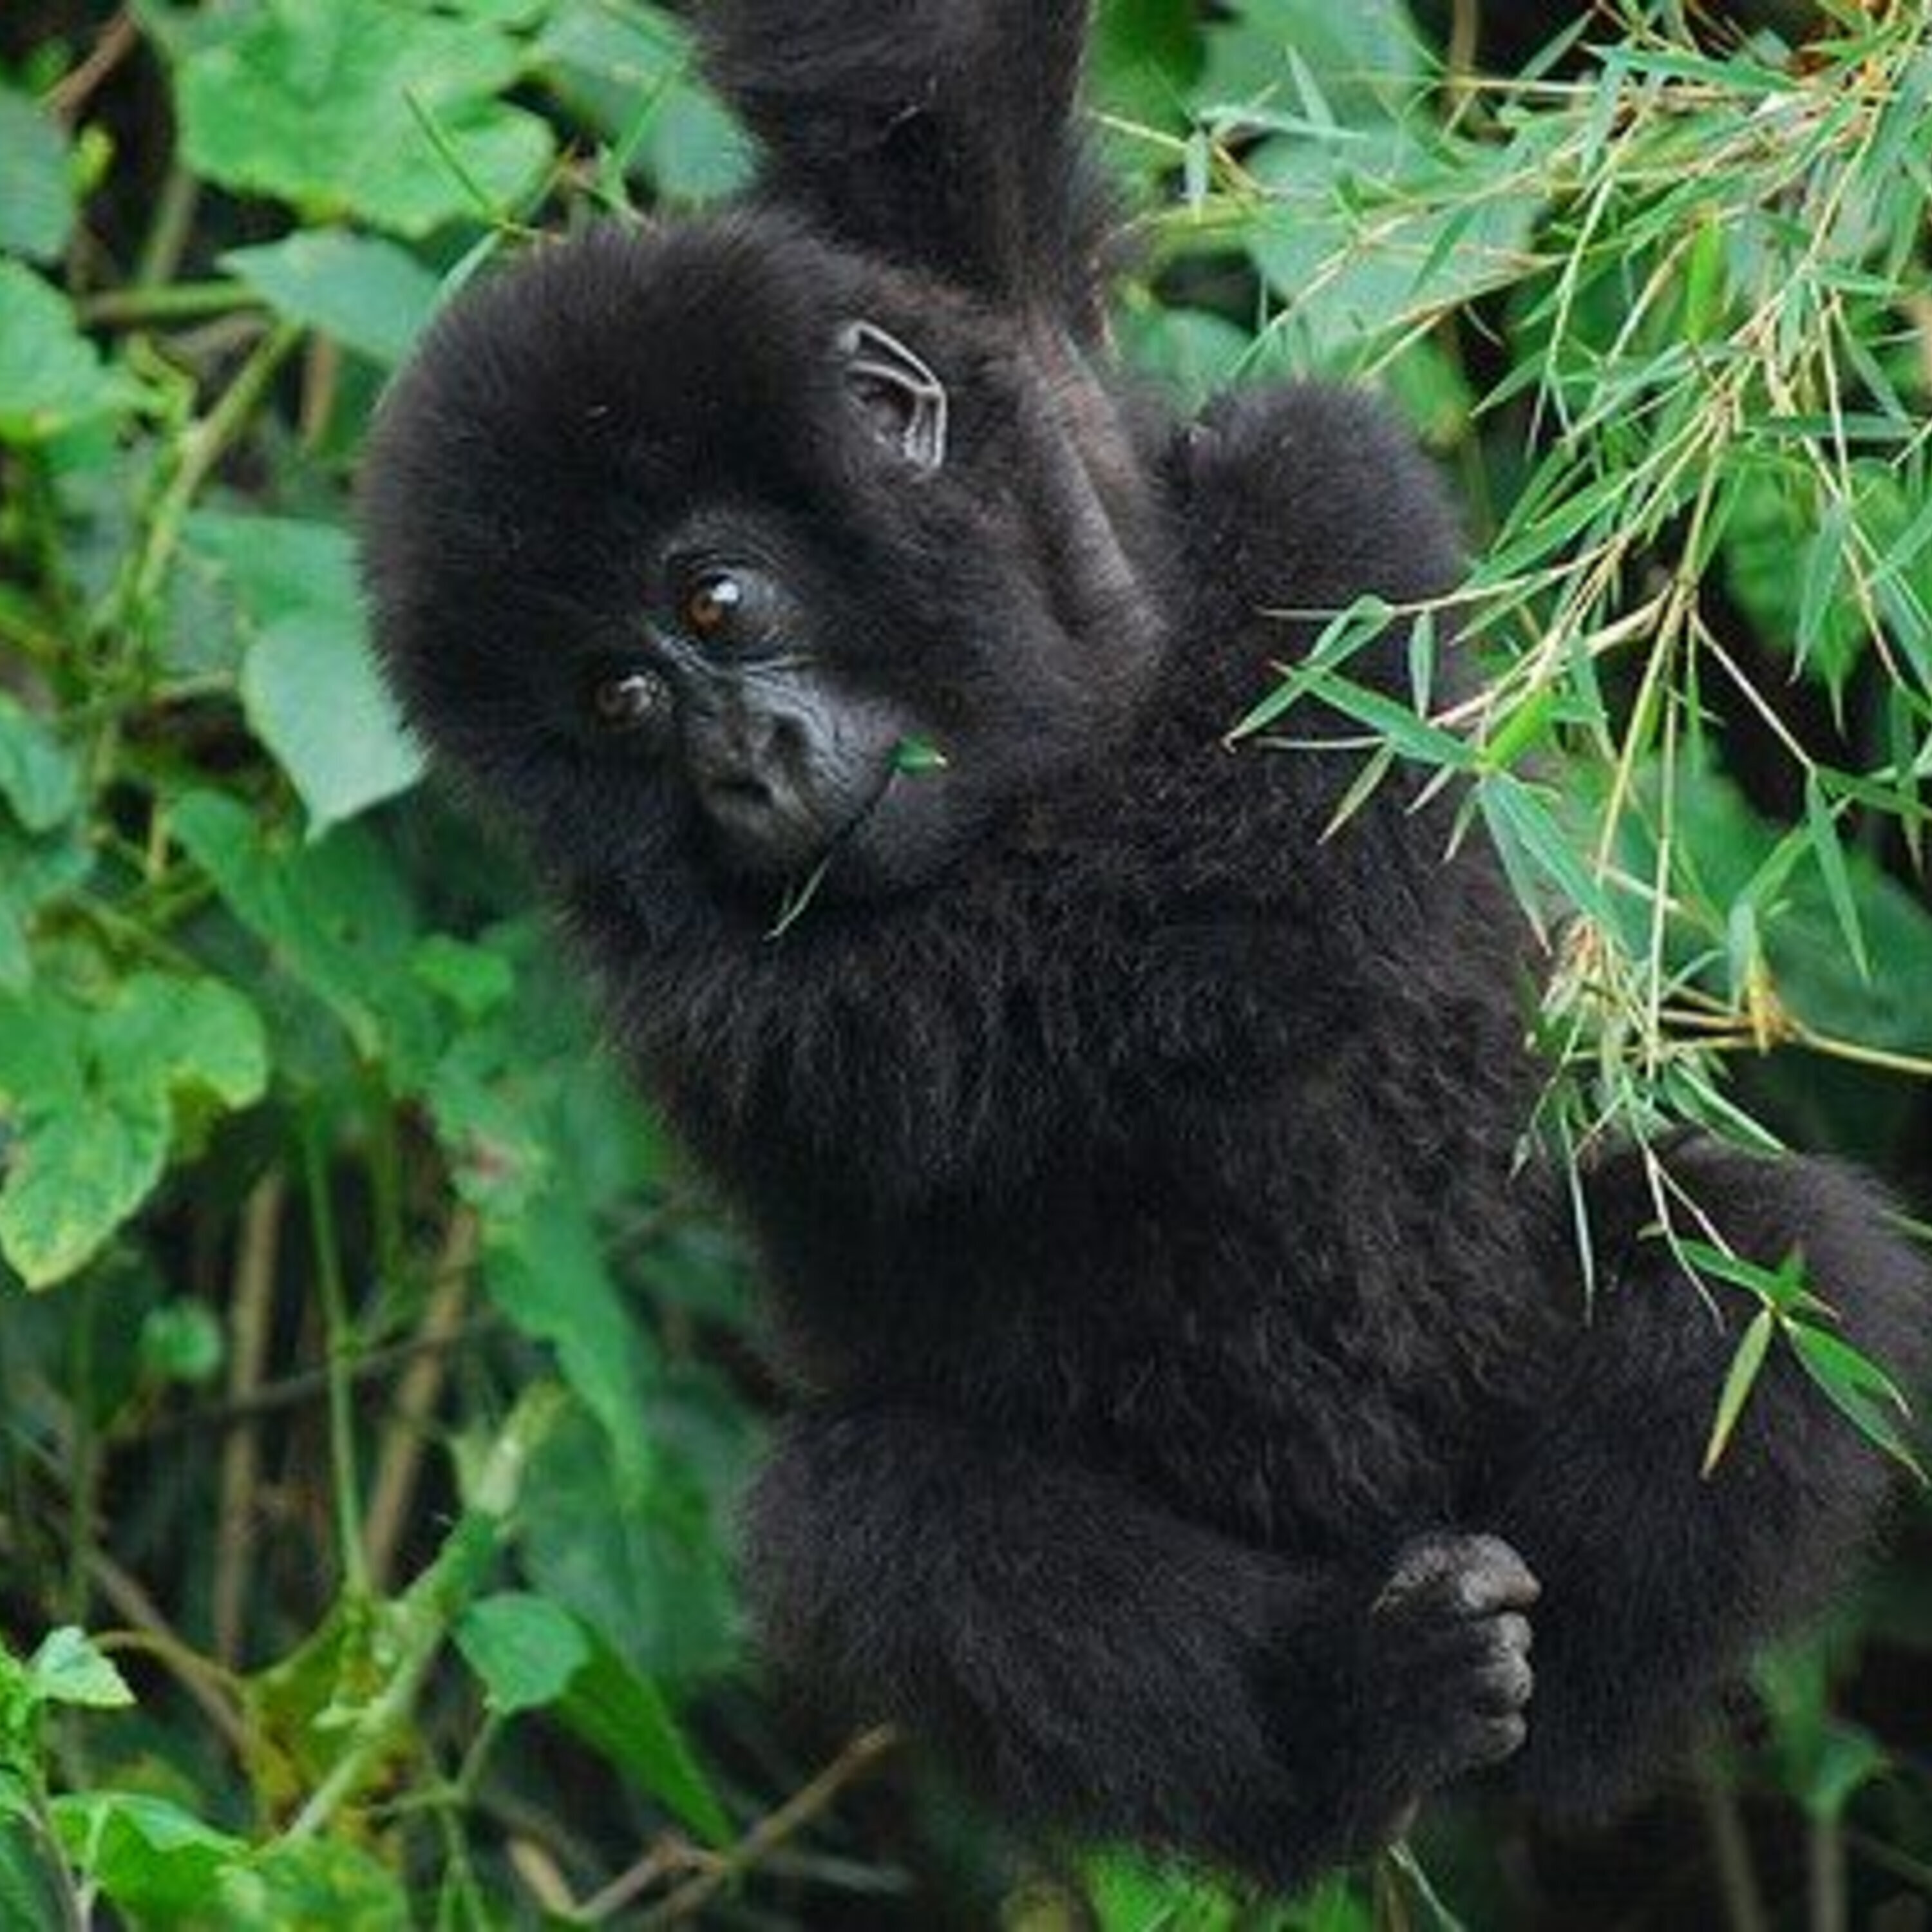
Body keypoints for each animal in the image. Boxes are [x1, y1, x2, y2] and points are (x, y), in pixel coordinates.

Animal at [359, 0, 1930, 1893]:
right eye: (616, 705)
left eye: (712, 604)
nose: (740, 768)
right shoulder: (731, 998)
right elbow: (1206, 917)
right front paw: (1311, 477)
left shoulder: (1017, 347)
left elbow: (911, 90)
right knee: (876, 1521)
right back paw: (1358, 1721)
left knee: (1760, 1276)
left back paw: (1560, 1742)